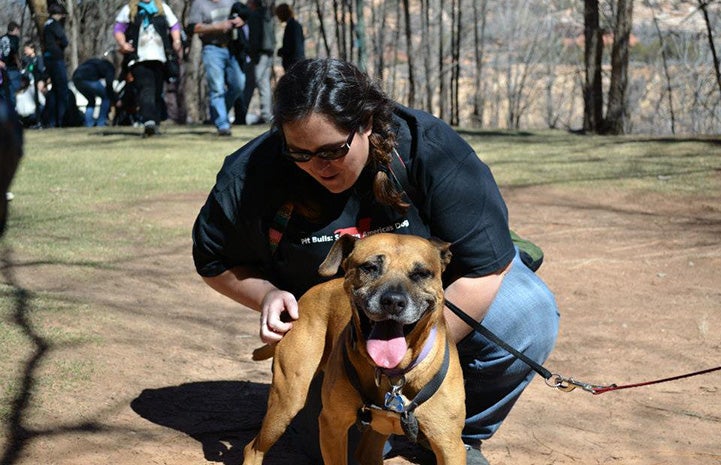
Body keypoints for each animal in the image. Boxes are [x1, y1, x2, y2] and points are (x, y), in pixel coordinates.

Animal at [243, 234, 466, 464]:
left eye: (421, 274)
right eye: (369, 267)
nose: (393, 301)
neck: (393, 374)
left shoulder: (449, 445)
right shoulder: (332, 424)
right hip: (286, 400)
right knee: (253, 448)